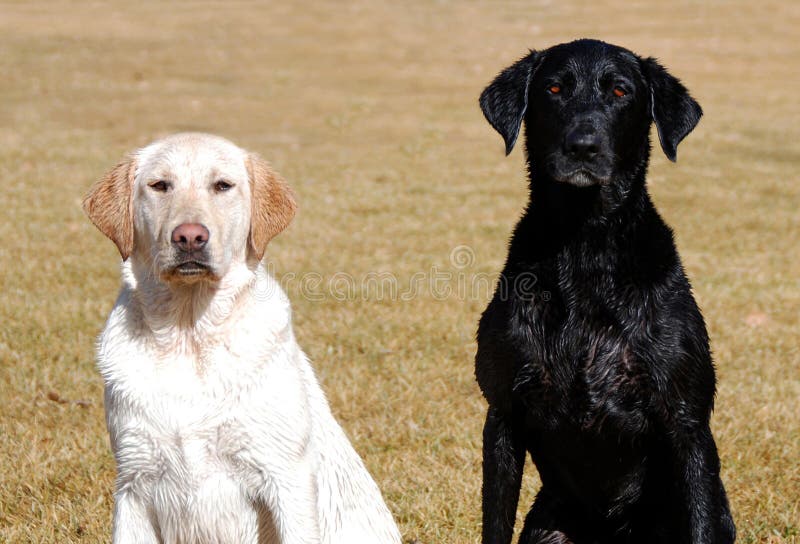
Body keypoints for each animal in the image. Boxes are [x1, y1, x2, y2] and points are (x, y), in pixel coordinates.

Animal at [83, 133, 400, 544]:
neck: (190, 334)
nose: (190, 237)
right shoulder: (133, 482)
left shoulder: (285, 478)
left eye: (222, 186)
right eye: (159, 185)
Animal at [476, 39, 736, 544]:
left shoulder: (687, 423)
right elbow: (495, 523)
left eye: (620, 91)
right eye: (554, 89)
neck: (585, 249)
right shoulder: (503, 413)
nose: (583, 146)